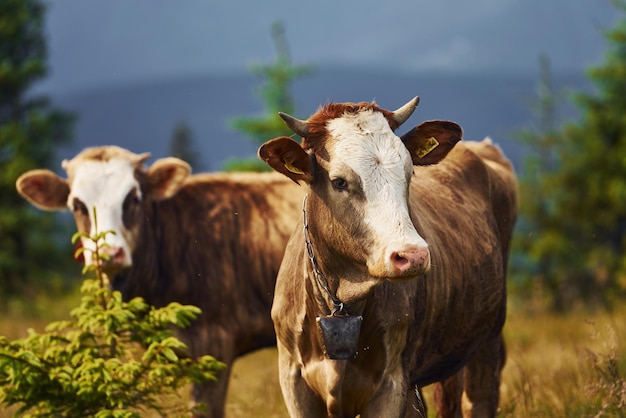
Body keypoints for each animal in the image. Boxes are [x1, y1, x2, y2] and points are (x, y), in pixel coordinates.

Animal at [256, 96, 516, 416]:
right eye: (339, 181)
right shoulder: (294, 382)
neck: (342, 302)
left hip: (488, 339)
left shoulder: (391, 385)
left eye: (409, 172)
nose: (412, 255)